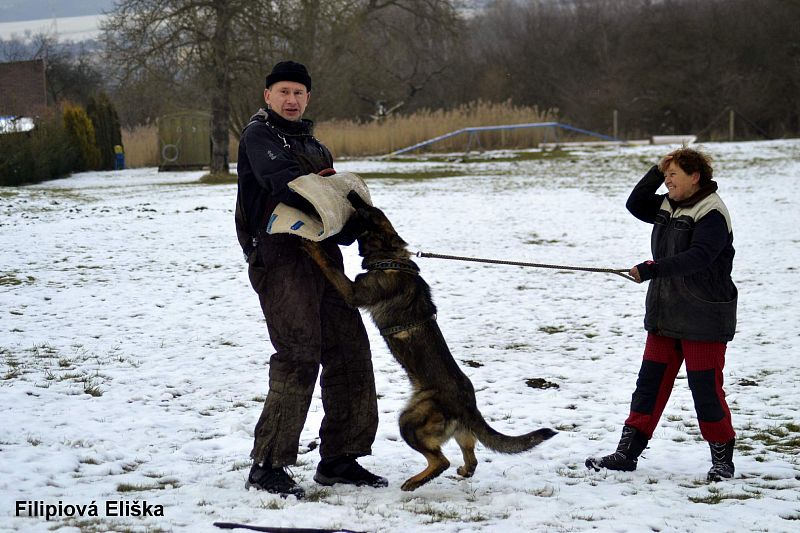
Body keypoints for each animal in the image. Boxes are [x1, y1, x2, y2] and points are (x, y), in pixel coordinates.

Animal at [302, 192, 556, 490]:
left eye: (364, 211)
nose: (352, 194)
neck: (388, 255)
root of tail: (468, 405)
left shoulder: (352, 292)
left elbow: (329, 266)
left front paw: (311, 245)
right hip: (455, 432)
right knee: (470, 459)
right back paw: (460, 471)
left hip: (409, 420)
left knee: (440, 461)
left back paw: (413, 482)